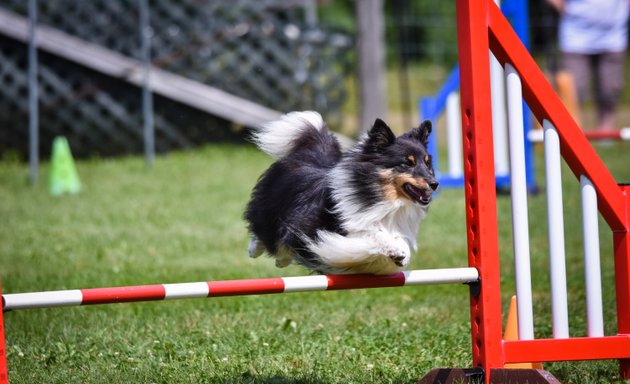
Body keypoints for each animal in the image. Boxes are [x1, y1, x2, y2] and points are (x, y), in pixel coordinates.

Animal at [246, 109, 440, 274]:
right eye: (407, 163)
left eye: (427, 163)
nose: (435, 184)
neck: (383, 198)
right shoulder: (313, 230)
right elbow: (372, 234)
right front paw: (394, 248)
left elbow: (396, 240)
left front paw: (402, 253)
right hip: (269, 212)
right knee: (265, 234)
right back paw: (254, 249)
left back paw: (281, 260)